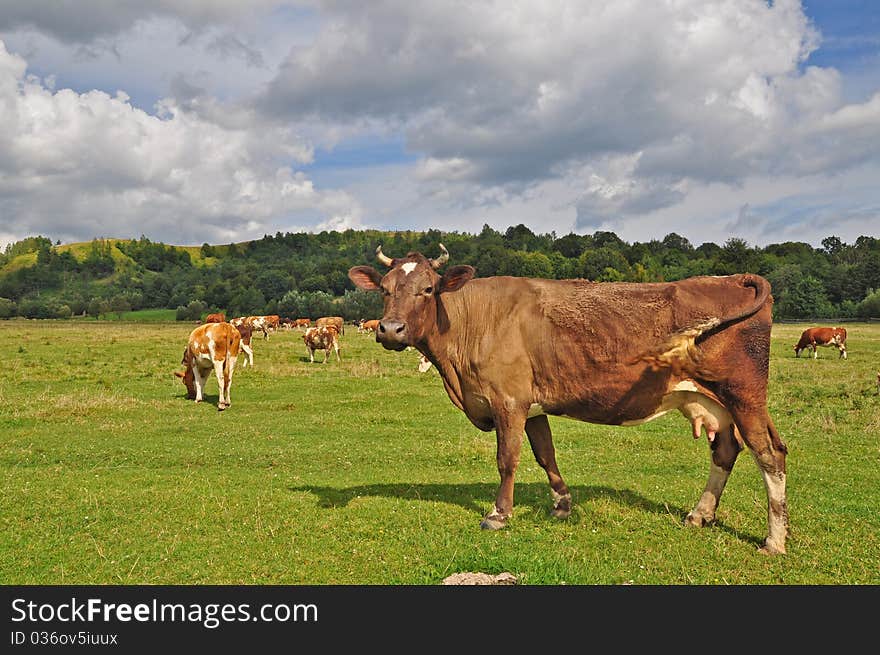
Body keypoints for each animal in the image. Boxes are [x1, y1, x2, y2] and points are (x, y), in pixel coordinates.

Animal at [350, 243, 792, 556]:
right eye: (385, 290)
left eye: (427, 289)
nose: (390, 329)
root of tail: (732, 277)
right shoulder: (530, 405)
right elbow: (545, 454)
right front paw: (562, 505)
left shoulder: (507, 400)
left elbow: (507, 459)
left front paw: (498, 514)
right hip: (713, 400)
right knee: (728, 450)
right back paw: (700, 514)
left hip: (745, 396)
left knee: (770, 455)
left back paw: (774, 540)